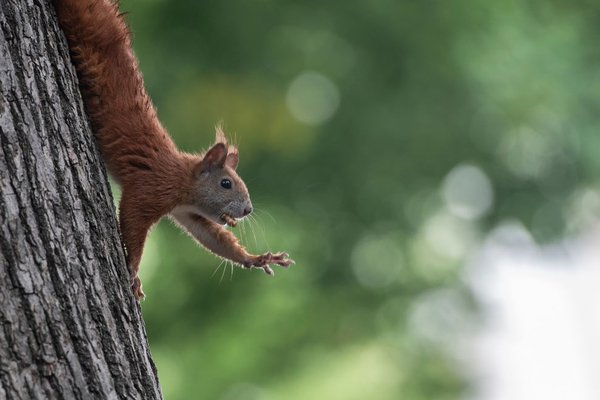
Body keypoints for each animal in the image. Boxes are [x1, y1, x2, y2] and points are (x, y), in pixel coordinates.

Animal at [55, 0, 294, 300]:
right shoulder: (151, 188)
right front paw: (133, 272)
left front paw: (257, 258)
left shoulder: (188, 213)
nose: (248, 210)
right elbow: (133, 223)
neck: (183, 180)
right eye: (225, 183)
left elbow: (212, 237)